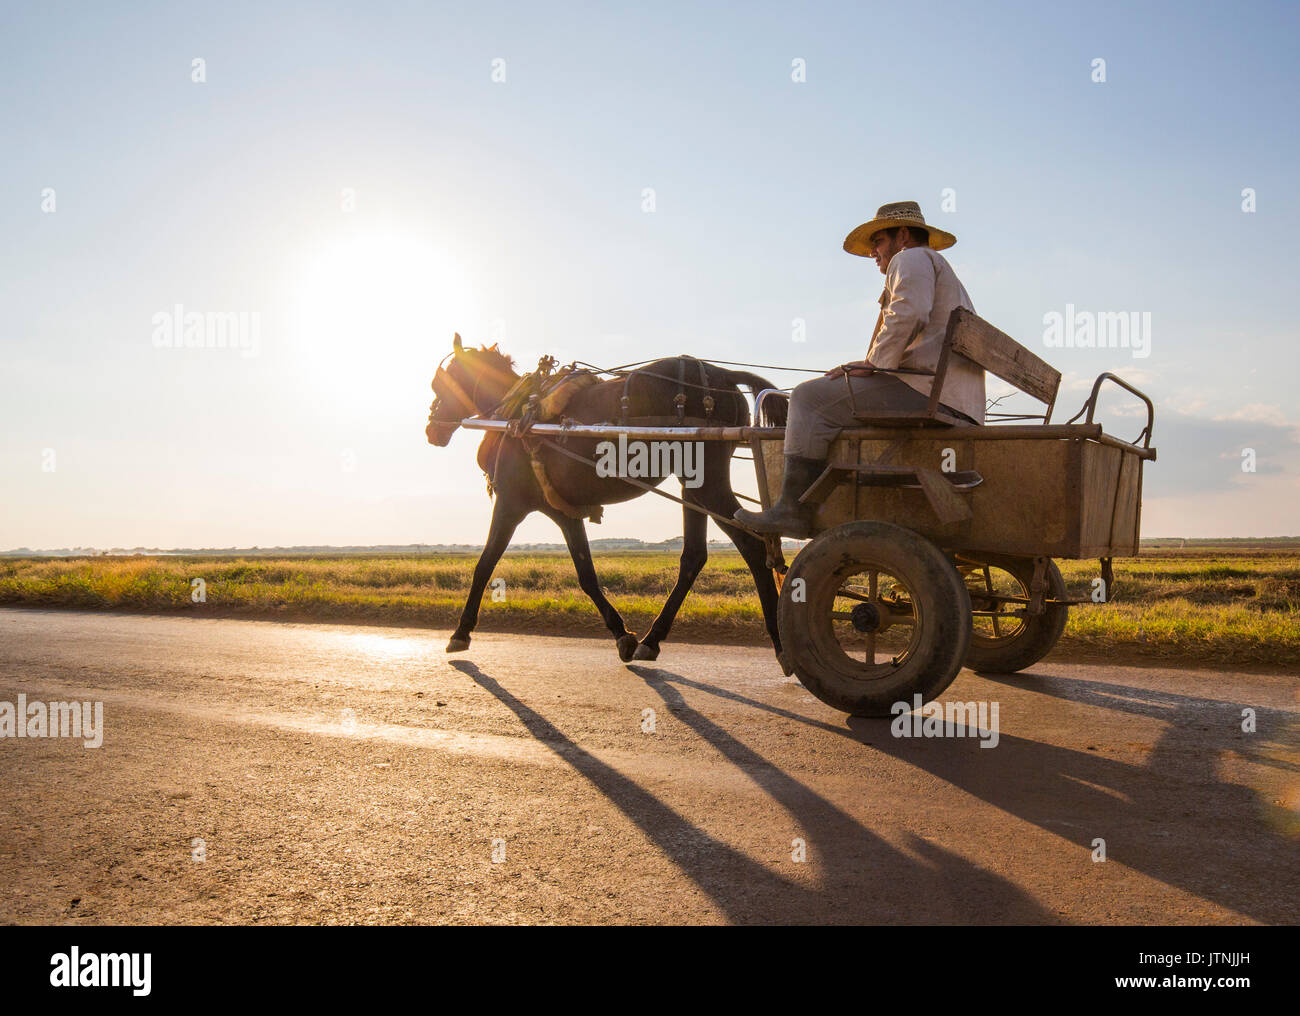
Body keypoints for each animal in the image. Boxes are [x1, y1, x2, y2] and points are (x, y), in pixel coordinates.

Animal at [426, 335, 785, 670]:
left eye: (438, 384)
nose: (432, 429)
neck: (520, 414)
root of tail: (722, 374)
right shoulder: (563, 512)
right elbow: (586, 574)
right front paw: (622, 636)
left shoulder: (511, 503)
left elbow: (484, 564)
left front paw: (461, 632)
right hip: (692, 484)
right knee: (694, 556)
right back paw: (652, 640)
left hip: (707, 481)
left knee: (753, 547)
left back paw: (781, 643)